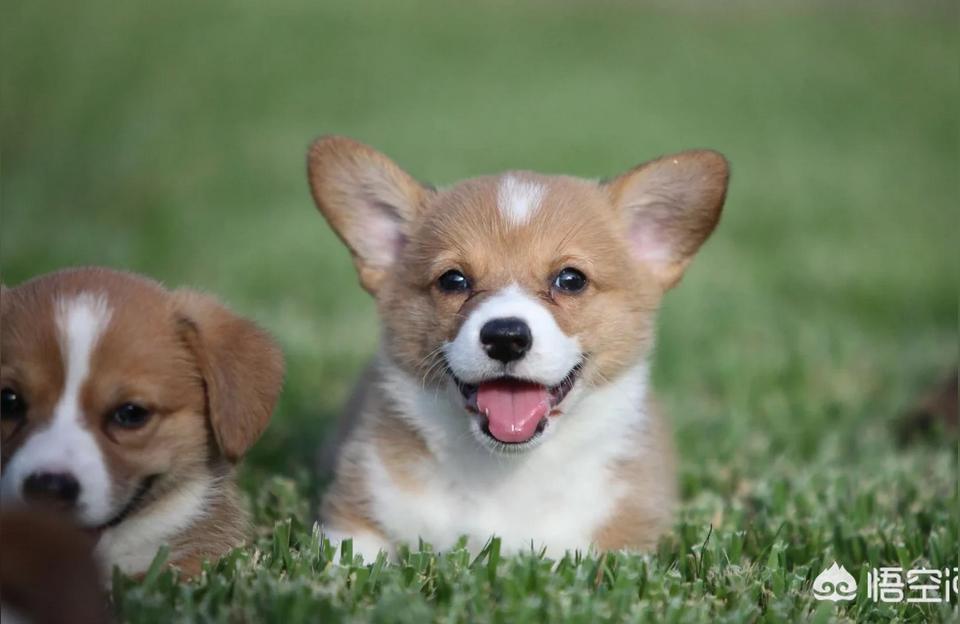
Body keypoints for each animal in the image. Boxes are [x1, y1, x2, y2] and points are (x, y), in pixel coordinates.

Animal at [308, 134, 728, 560]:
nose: (506, 337)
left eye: (571, 279)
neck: (507, 472)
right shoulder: (355, 514)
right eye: (453, 280)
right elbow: (350, 560)